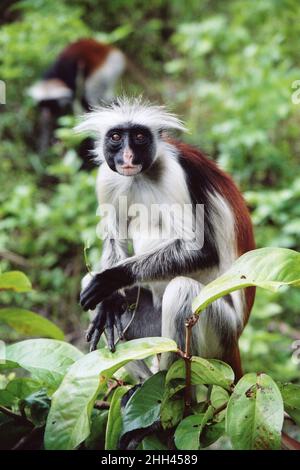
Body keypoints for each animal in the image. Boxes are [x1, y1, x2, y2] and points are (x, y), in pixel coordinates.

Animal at [76, 97, 254, 380]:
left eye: (139, 137)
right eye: (115, 137)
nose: (127, 156)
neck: (141, 175)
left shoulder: (174, 173)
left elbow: (201, 251)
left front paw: (111, 278)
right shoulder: (108, 177)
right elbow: (115, 240)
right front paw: (109, 301)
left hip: (223, 328)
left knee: (182, 289)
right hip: (153, 328)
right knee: (89, 283)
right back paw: (141, 383)